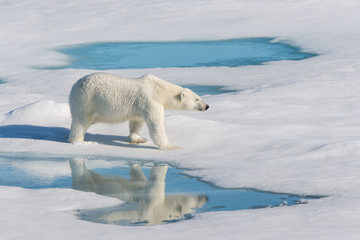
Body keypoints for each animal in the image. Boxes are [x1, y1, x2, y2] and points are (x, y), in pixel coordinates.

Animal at [68, 72, 208, 149]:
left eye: (199, 97)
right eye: (196, 99)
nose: (207, 106)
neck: (159, 90)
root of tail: (74, 86)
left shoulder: (139, 106)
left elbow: (136, 122)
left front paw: (138, 139)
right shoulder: (151, 101)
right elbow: (156, 126)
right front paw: (171, 146)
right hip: (86, 100)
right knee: (80, 122)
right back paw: (78, 141)